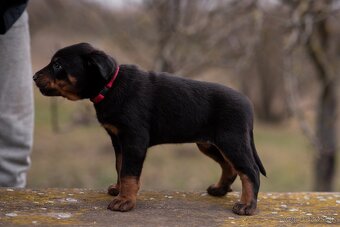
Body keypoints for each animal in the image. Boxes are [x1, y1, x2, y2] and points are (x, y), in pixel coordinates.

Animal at [33, 42, 266, 215]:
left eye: (57, 66)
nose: (34, 77)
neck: (111, 86)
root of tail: (249, 106)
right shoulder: (118, 141)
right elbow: (120, 167)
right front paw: (118, 190)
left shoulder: (134, 140)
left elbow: (129, 172)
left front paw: (125, 201)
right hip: (209, 144)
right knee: (231, 167)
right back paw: (219, 190)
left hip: (231, 141)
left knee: (250, 171)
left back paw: (247, 206)